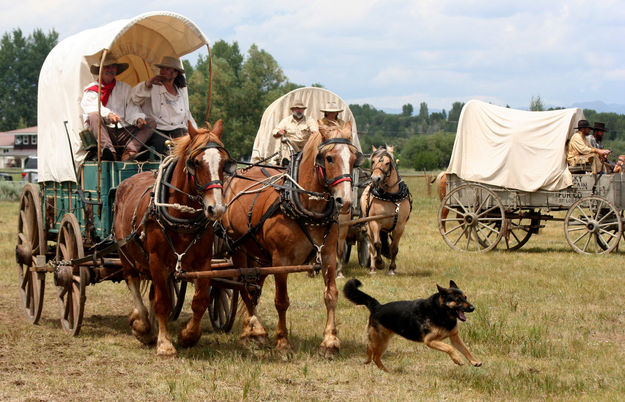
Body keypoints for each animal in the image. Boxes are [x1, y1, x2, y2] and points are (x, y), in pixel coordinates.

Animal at [112, 119, 234, 354]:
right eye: (196, 162)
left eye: (224, 162)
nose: (216, 209)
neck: (180, 215)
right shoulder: (157, 261)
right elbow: (163, 302)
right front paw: (165, 344)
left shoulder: (203, 261)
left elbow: (201, 300)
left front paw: (188, 335)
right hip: (126, 253)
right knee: (133, 282)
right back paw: (142, 324)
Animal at [222, 121, 364, 356]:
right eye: (329, 158)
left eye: (354, 158)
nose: (344, 201)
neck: (307, 207)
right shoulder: (281, 261)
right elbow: (281, 300)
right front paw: (282, 342)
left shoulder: (328, 255)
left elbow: (331, 295)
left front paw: (330, 341)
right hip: (238, 248)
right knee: (244, 287)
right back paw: (256, 330)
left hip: (260, 256)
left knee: (254, 288)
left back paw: (250, 328)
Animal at [342, 280, 482, 370]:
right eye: (458, 300)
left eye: (465, 297)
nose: (473, 308)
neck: (440, 311)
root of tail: (377, 306)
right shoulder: (430, 341)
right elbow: (449, 348)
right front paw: (457, 359)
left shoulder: (454, 338)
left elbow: (465, 349)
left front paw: (475, 361)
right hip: (381, 341)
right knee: (375, 355)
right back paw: (386, 371)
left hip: (381, 340)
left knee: (370, 348)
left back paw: (372, 363)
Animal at [358, 146, 412, 274]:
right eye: (373, 161)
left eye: (387, 163)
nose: (375, 178)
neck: (390, 196)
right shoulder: (375, 222)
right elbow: (378, 244)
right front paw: (379, 263)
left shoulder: (400, 225)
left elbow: (394, 247)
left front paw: (392, 268)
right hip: (368, 226)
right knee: (371, 246)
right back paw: (372, 267)